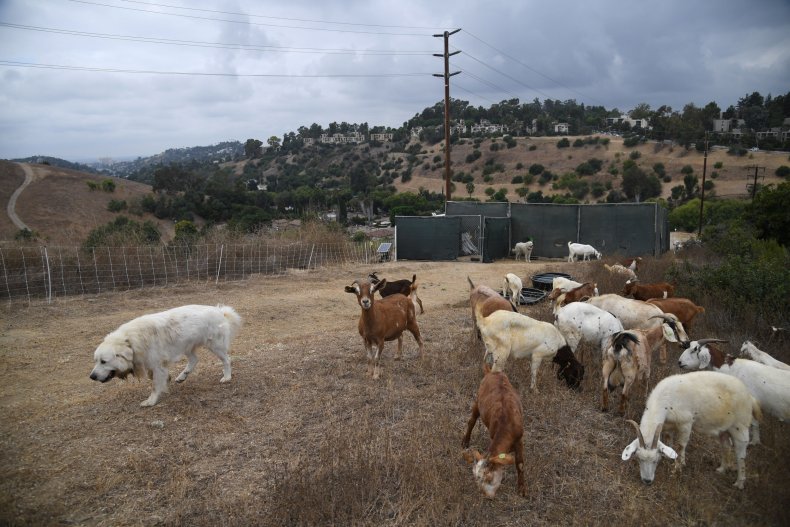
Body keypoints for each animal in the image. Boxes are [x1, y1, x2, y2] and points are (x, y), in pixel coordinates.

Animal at [89, 306, 241, 408]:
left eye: (103, 361)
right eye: (96, 361)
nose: (92, 377)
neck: (130, 341)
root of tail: (220, 311)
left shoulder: (157, 365)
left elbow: (155, 385)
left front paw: (151, 401)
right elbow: (158, 379)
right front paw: (167, 380)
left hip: (215, 346)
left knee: (227, 360)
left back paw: (227, 377)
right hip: (186, 346)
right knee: (194, 360)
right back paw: (182, 376)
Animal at [460, 364, 528, 500]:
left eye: (489, 478)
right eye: (477, 480)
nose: (486, 495)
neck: (506, 426)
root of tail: (491, 372)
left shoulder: (519, 440)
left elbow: (520, 464)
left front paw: (522, 490)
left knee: (471, 421)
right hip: (478, 400)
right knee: (471, 421)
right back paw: (466, 441)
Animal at [620, 372, 764, 490]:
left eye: (655, 461)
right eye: (638, 459)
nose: (647, 481)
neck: (666, 398)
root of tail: (750, 398)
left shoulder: (686, 423)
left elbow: (680, 445)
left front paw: (677, 468)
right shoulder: (667, 426)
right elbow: (669, 441)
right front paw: (670, 458)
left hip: (740, 426)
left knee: (741, 454)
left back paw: (739, 483)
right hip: (725, 428)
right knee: (726, 446)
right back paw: (721, 469)